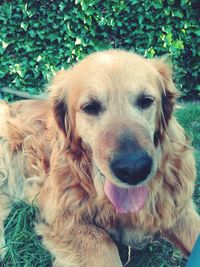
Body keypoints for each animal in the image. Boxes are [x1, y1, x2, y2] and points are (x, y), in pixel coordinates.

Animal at [0, 49, 200, 266]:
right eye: (90, 107)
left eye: (146, 100)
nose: (134, 169)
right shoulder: (62, 214)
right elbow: (103, 243)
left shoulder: (178, 210)